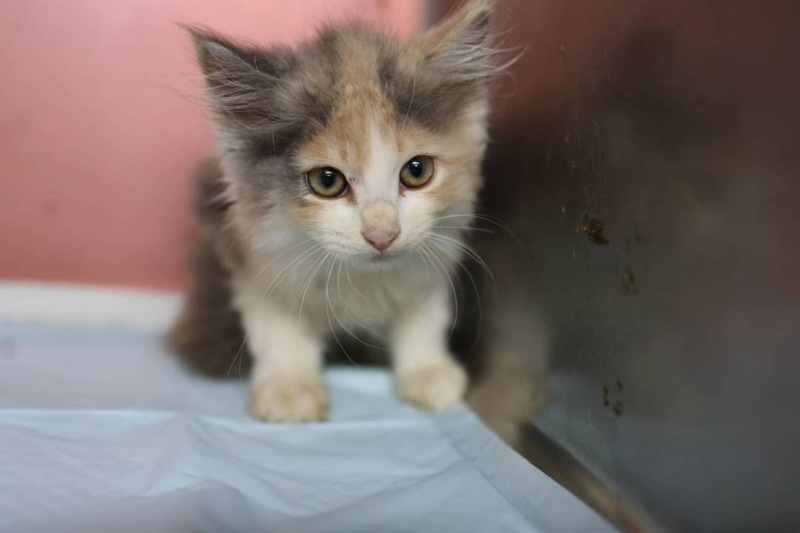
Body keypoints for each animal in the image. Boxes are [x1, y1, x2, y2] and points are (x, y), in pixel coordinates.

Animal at [168, 0, 504, 423]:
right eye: (327, 181)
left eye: (417, 171)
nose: (382, 235)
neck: (361, 281)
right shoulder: (256, 258)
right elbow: (278, 327)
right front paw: (290, 389)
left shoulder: (434, 255)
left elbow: (423, 318)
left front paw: (427, 372)